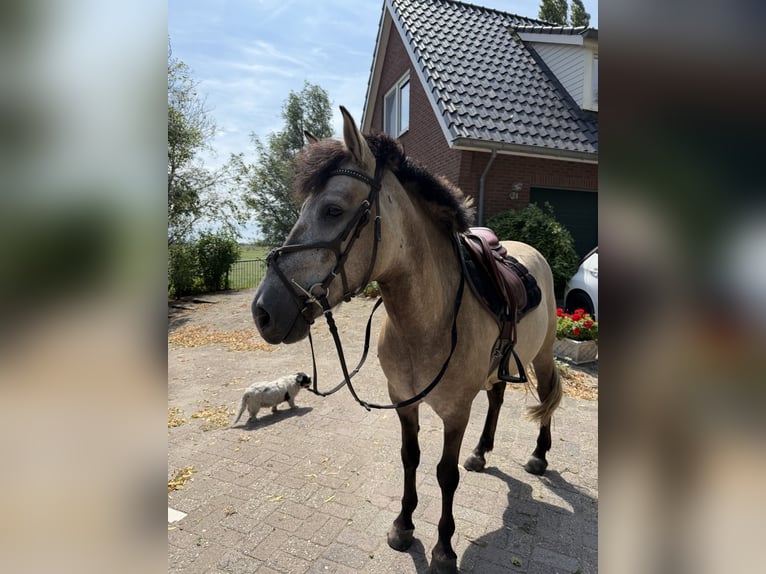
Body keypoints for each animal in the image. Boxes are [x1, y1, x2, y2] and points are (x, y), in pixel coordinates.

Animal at [252, 106, 562, 574]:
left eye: (332, 209)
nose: (263, 312)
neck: (426, 322)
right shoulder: (403, 401)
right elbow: (409, 458)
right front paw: (403, 526)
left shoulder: (455, 412)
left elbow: (445, 474)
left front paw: (444, 549)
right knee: (496, 399)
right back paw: (482, 452)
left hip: (541, 358)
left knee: (544, 399)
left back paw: (539, 456)